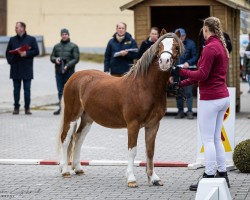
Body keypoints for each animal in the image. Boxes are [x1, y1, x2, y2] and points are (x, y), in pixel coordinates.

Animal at [57, 30, 185, 188]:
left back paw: (78, 168)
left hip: (87, 118)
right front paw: (131, 179)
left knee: (78, 138)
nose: (164, 61)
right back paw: (65, 170)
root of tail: (74, 77)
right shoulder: (133, 124)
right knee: (65, 138)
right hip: (72, 115)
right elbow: (132, 151)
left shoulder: (153, 125)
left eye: (176, 47)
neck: (145, 87)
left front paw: (154, 178)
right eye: (159, 46)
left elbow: (150, 151)